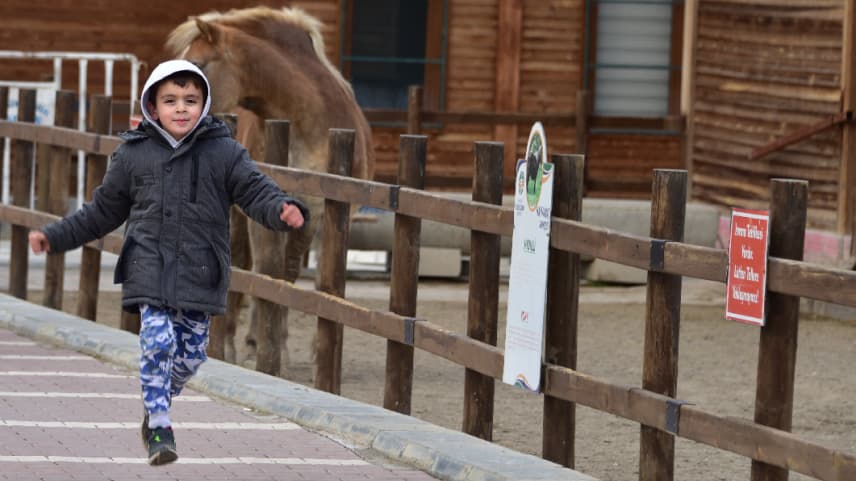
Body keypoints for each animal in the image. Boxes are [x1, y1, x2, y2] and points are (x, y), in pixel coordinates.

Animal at [167, 8, 374, 376]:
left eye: (198, 64)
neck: (309, 123)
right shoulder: (263, 212)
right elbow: (266, 273)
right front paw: (263, 351)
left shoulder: (323, 212)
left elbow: (303, 279)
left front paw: (306, 352)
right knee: (239, 264)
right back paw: (233, 344)